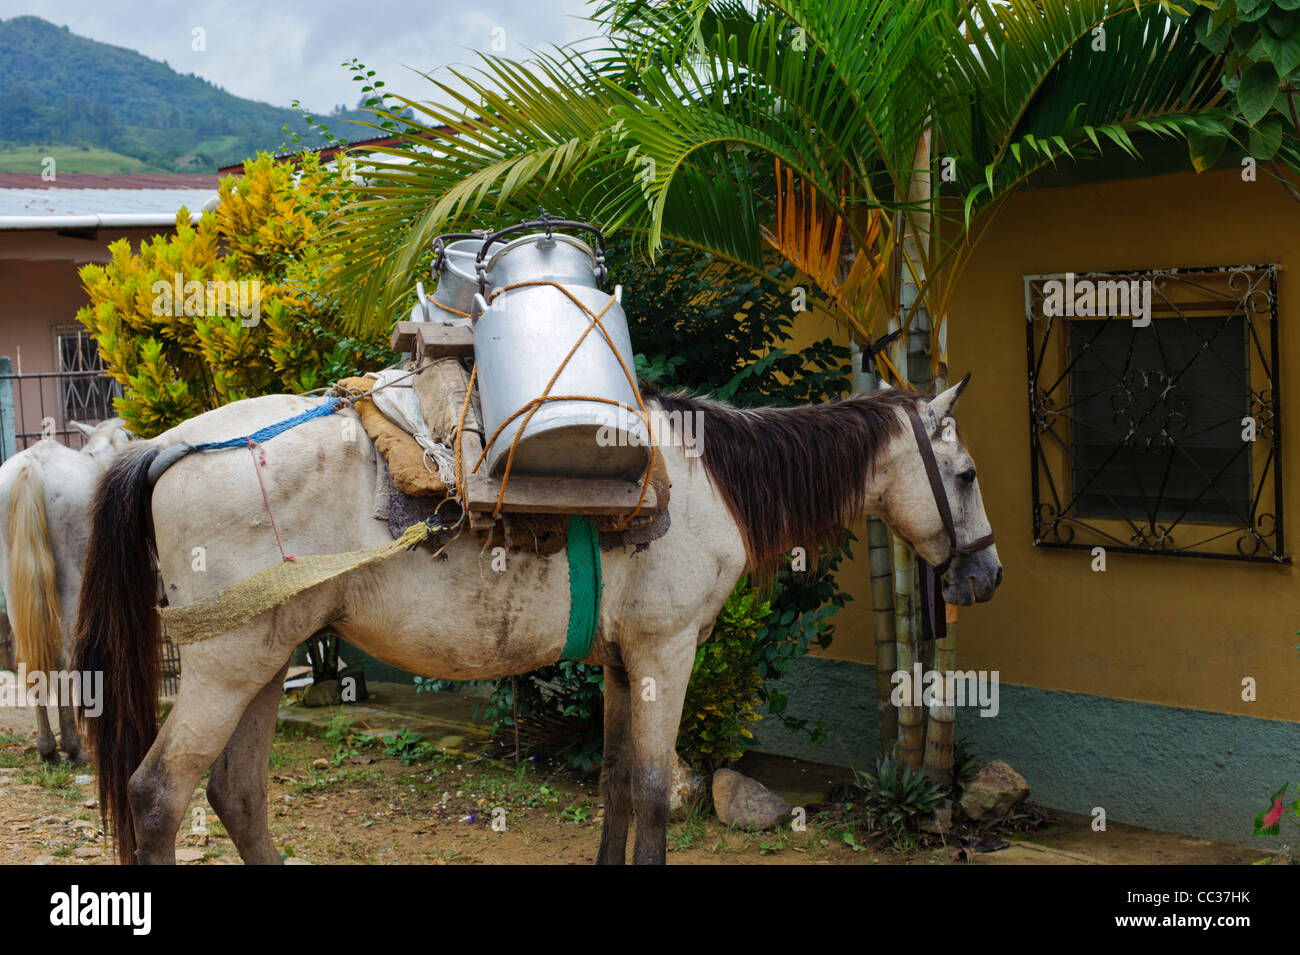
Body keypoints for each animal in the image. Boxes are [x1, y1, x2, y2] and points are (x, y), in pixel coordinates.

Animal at [0, 419, 130, 762]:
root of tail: (31, 465)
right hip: (72, 579)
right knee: (68, 649)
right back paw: (76, 744)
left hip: (11, 581)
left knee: (30, 653)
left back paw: (48, 748)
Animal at [72, 375, 1001, 865]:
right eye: (964, 474)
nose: (985, 574)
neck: (709, 482)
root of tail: (164, 446)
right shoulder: (665, 652)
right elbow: (655, 789)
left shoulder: (625, 659)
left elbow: (618, 780)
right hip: (228, 662)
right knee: (158, 792)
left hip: (267, 656)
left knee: (235, 790)